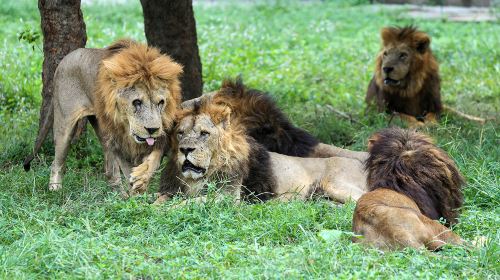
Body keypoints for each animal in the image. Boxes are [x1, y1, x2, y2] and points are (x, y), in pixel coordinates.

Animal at [23, 39, 183, 195]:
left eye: (161, 102)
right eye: (137, 102)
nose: (152, 130)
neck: (126, 127)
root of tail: (63, 61)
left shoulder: (160, 136)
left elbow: (152, 159)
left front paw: (140, 182)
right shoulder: (118, 140)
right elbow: (126, 168)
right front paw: (135, 191)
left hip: (100, 129)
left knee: (110, 169)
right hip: (65, 124)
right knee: (57, 162)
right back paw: (55, 190)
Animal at [152, 99, 368, 205]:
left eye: (204, 133)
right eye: (180, 133)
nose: (185, 149)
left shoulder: (227, 196)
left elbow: (185, 204)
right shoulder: (171, 190)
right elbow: (159, 199)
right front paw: (152, 207)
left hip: (336, 184)